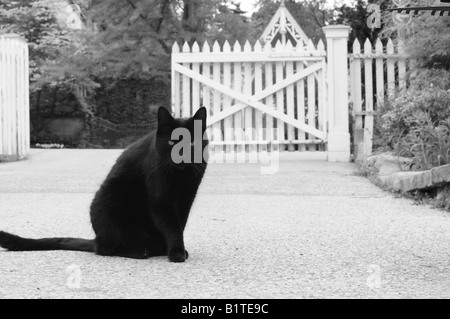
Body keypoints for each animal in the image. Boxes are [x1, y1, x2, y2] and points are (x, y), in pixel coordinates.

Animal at [0, 107, 208, 262]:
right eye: (172, 142)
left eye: (191, 143)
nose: (181, 156)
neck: (181, 175)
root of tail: (96, 239)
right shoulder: (161, 199)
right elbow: (172, 227)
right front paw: (176, 252)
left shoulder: (187, 197)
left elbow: (179, 224)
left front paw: (175, 250)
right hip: (107, 203)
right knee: (107, 248)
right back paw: (139, 250)